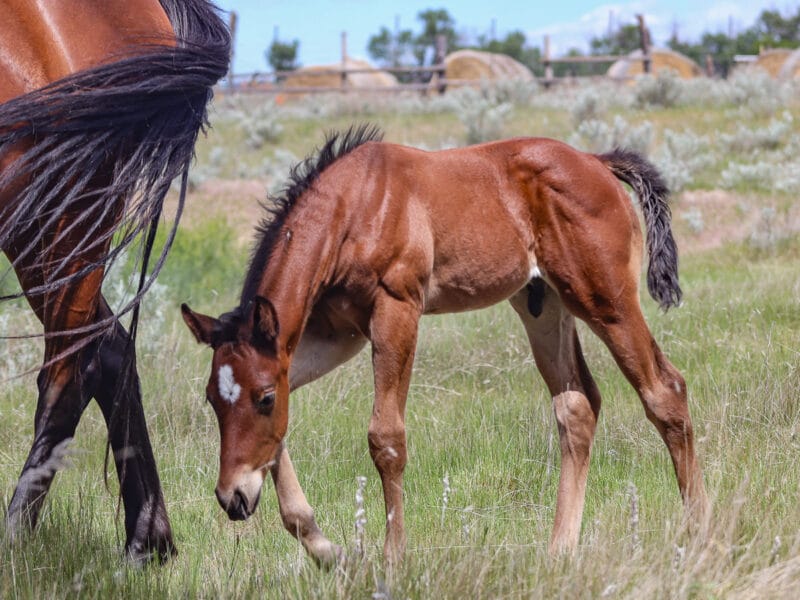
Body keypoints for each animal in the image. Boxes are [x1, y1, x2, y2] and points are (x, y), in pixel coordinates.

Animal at [181, 124, 708, 564]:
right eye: (211, 399)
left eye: (264, 398)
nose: (232, 499)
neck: (355, 207)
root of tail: (596, 162)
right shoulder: (335, 335)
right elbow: (281, 434)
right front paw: (323, 547)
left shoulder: (396, 310)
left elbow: (386, 438)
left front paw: (393, 559)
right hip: (543, 305)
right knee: (577, 405)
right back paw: (560, 550)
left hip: (605, 301)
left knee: (665, 390)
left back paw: (697, 533)